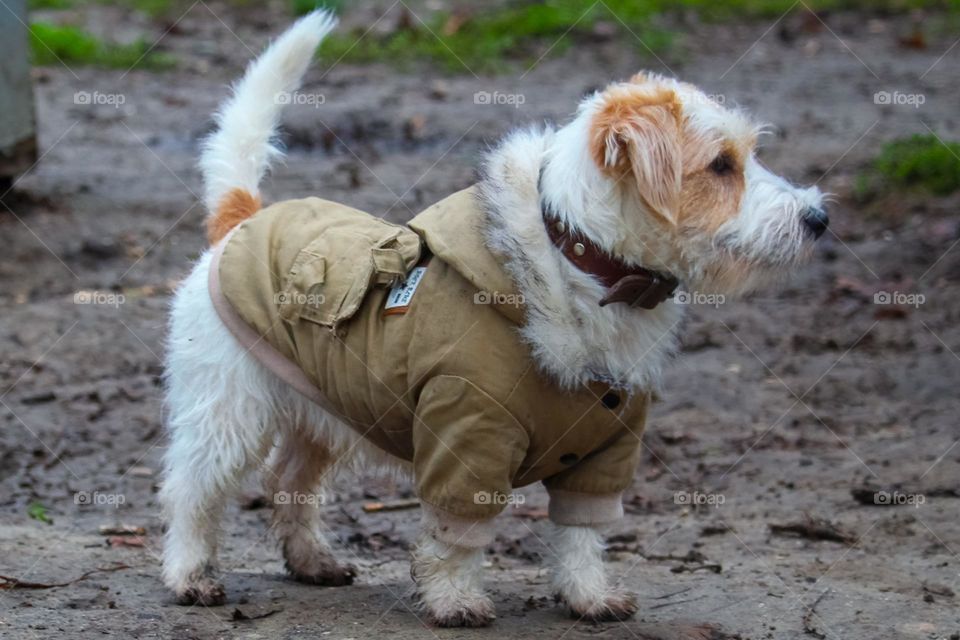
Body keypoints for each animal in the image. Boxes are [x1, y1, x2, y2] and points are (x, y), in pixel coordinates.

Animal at [158, 10, 824, 628]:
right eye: (721, 165)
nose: (818, 219)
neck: (580, 263)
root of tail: (242, 218)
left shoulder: (605, 451)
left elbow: (581, 535)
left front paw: (588, 597)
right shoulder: (466, 435)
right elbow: (456, 535)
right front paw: (455, 600)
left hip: (321, 412)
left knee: (287, 483)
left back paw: (311, 561)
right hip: (227, 416)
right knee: (190, 491)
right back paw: (190, 575)